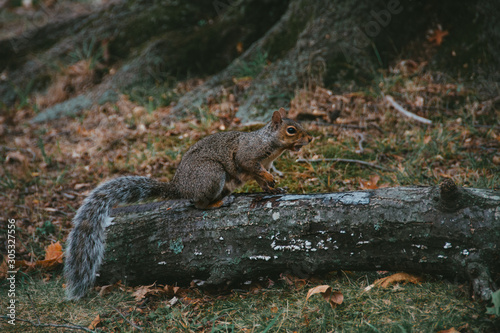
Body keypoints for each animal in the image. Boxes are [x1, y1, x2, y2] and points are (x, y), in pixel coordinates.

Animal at [64, 107, 310, 300]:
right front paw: (270, 181)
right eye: (291, 130)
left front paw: (274, 188)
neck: (271, 145)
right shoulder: (248, 156)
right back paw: (218, 203)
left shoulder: (261, 166)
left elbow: (262, 180)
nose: (310, 139)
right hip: (212, 175)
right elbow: (252, 166)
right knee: (199, 204)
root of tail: (180, 187)